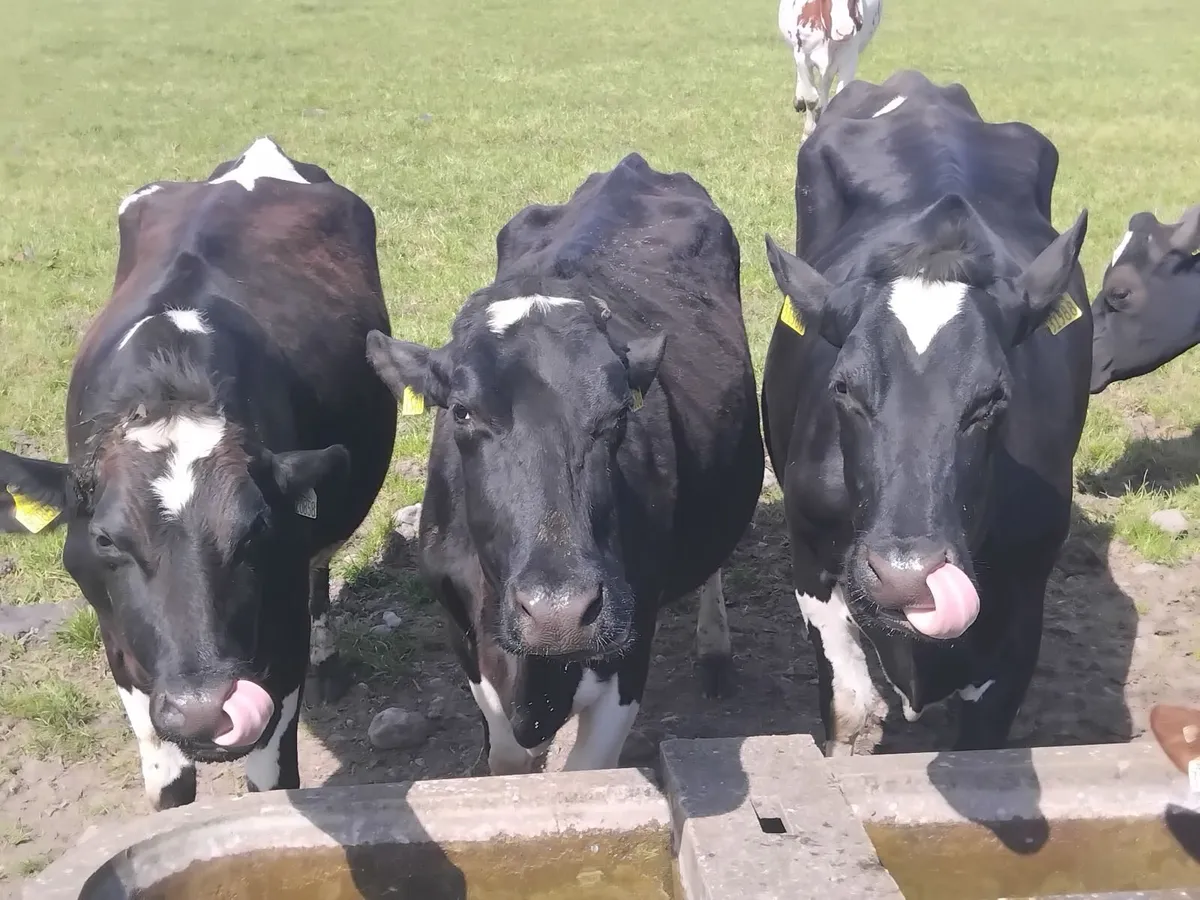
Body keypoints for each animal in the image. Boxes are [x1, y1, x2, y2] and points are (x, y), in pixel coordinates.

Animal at [0, 137, 396, 808]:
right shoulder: (121, 647)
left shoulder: (281, 639)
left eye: (258, 530)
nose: (204, 709)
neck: (172, 385)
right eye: (105, 538)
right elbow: (170, 788)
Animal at [365, 153, 764, 775]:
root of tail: (631, 165)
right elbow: (507, 758)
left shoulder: (630, 643)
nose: (558, 612)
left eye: (620, 413)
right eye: (461, 412)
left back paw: (714, 650)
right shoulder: (464, 632)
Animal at [760, 70, 1092, 755]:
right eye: (843, 389)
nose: (906, 577)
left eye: (993, 398)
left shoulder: (1023, 605)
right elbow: (850, 711)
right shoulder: (810, 553)